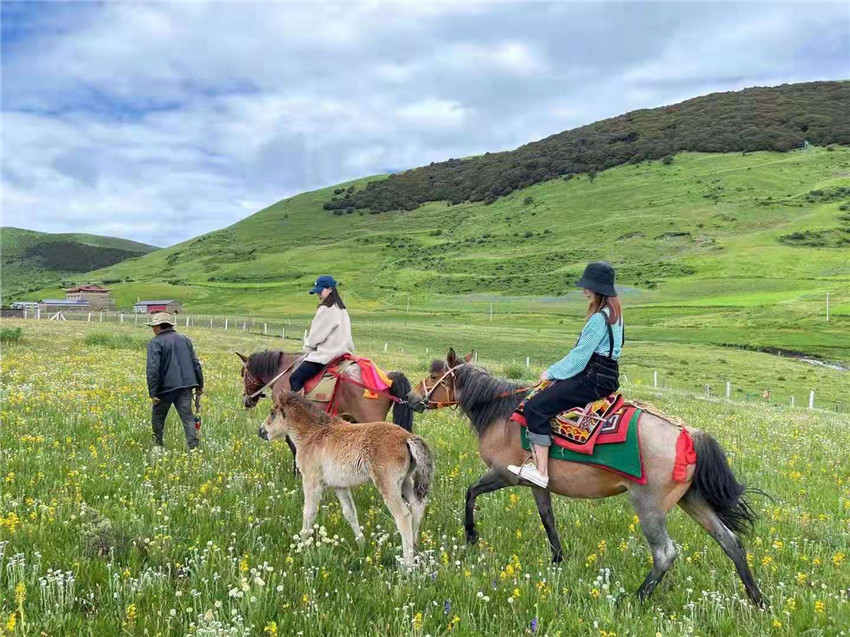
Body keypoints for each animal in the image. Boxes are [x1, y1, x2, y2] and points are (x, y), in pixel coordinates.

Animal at [404, 350, 760, 604]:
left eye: (434, 375)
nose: (410, 398)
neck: (501, 414)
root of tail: (688, 435)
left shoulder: (506, 475)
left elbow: (470, 492)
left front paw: (471, 536)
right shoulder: (536, 483)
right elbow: (547, 518)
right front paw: (557, 559)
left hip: (649, 506)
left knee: (665, 554)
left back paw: (634, 599)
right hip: (693, 500)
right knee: (730, 541)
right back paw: (758, 600)